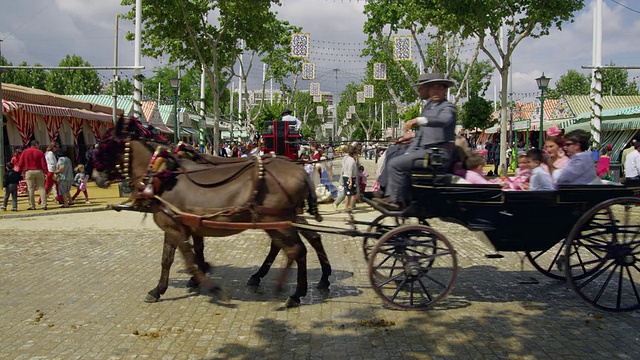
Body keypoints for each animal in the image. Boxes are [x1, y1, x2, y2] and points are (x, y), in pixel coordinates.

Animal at [94, 119, 330, 306]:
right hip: (285, 219)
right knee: (306, 241)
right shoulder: (183, 225)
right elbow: (178, 255)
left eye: (103, 147)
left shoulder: (174, 227)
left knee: (296, 250)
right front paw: (171, 285)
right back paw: (312, 280)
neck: (162, 174)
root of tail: (300, 171)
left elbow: (185, 258)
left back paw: (294, 292)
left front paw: (209, 286)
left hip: (275, 219)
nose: (96, 177)